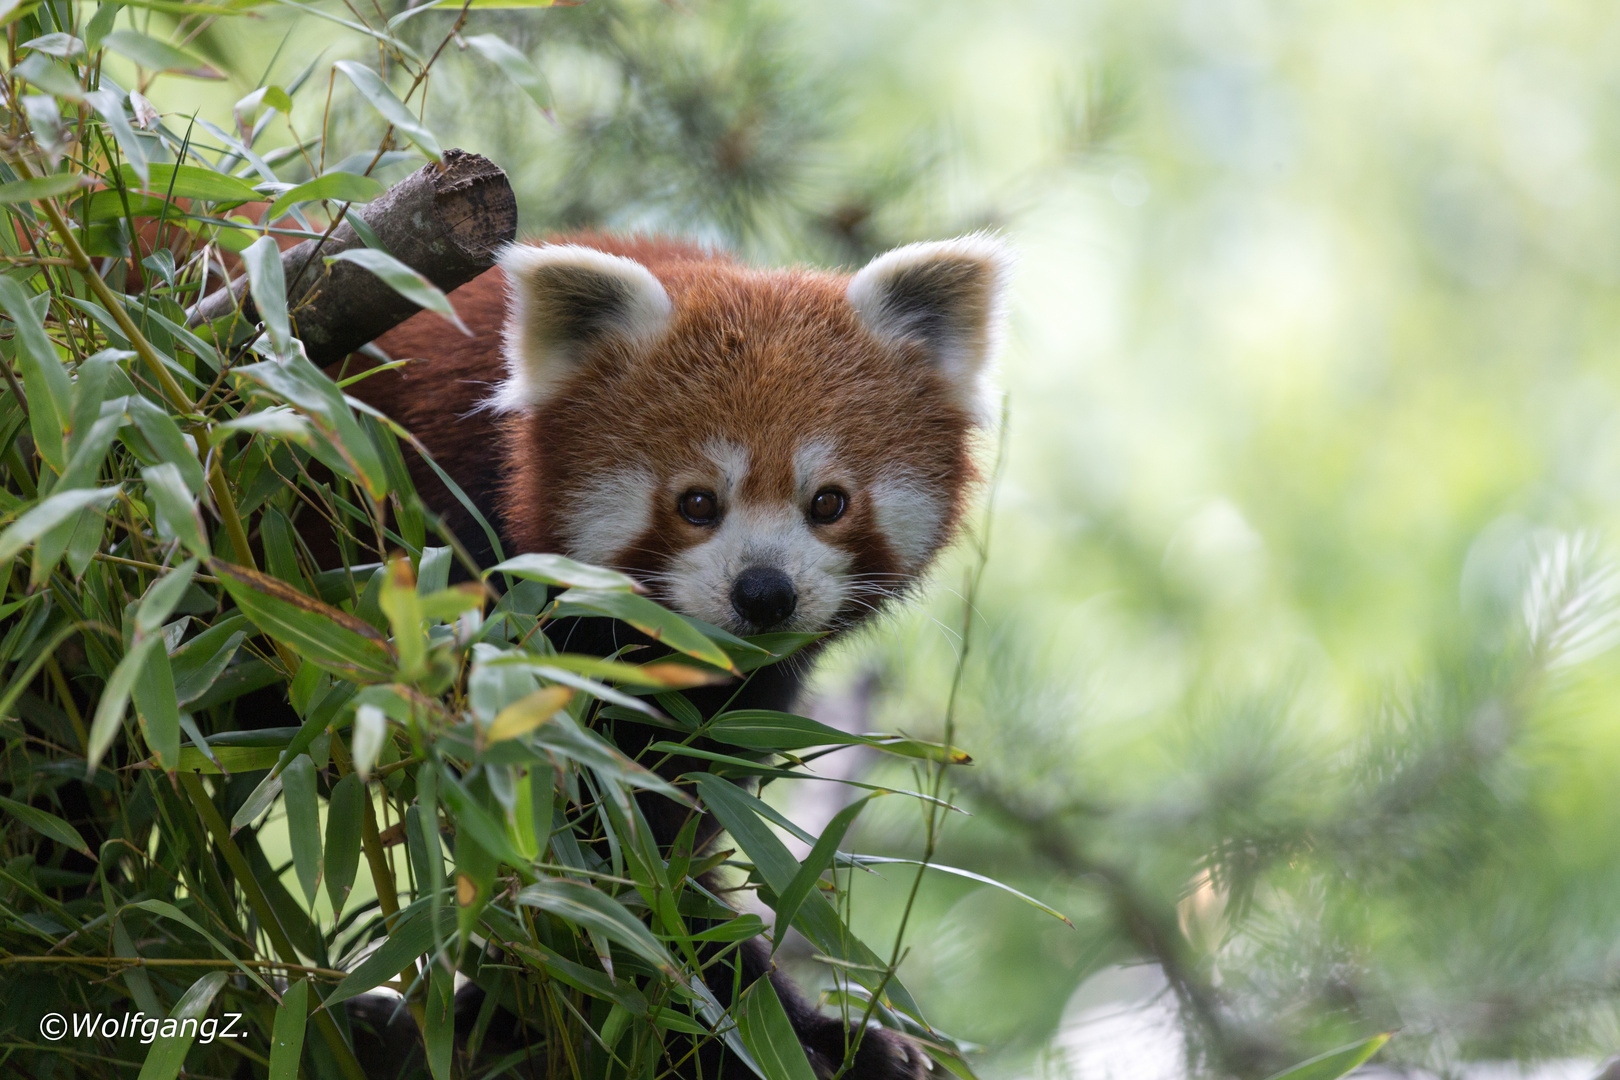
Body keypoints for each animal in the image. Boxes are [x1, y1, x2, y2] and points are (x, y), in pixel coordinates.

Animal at [335, 233, 1004, 1080]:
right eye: (697, 503)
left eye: (829, 501)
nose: (764, 593)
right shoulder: (455, 572)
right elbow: (586, 852)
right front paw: (730, 1024)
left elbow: (673, 830)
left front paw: (807, 1030)